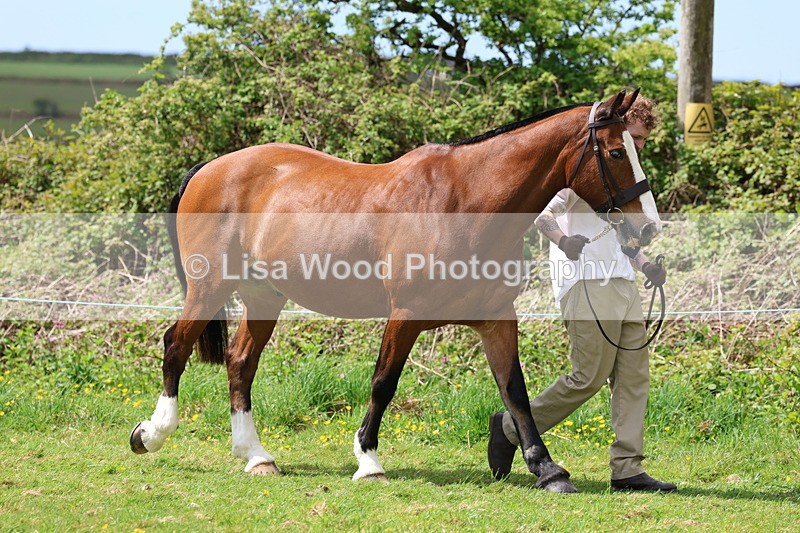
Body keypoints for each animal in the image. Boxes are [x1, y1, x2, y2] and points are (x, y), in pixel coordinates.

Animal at [129, 89, 661, 493]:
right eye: (617, 152)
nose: (649, 228)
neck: (464, 203)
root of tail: (209, 168)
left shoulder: (496, 319)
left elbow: (516, 391)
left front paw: (547, 469)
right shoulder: (405, 315)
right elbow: (383, 382)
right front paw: (369, 460)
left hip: (264, 296)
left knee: (241, 362)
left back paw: (257, 456)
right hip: (209, 287)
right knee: (175, 346)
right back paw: (151, 434)